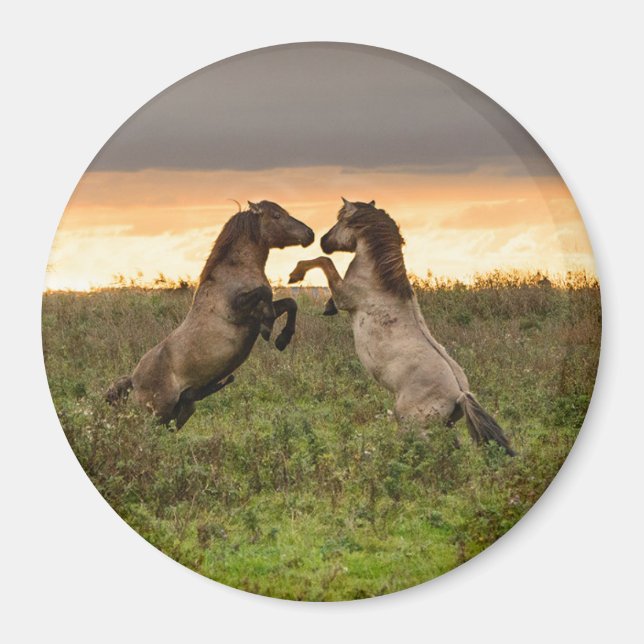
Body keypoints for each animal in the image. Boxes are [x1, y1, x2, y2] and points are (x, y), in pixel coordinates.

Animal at [106, 200, 314, 429]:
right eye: (276, 215)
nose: (310, 233)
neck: (235, 272)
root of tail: (133, 380)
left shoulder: (255, 314)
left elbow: (290, 304)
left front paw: (282, 340)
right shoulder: (238, 311)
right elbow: (266, 293)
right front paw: (269, 329)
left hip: (181, 412)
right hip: (156, 414)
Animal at [288, 198, 515, 455]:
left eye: (341, 220)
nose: (323, 240)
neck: (377, 279)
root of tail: (460, 394)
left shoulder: (345, 296)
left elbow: (325, 263)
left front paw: (295, 275)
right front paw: (326, 305)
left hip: (411, 423)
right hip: (443, 426)